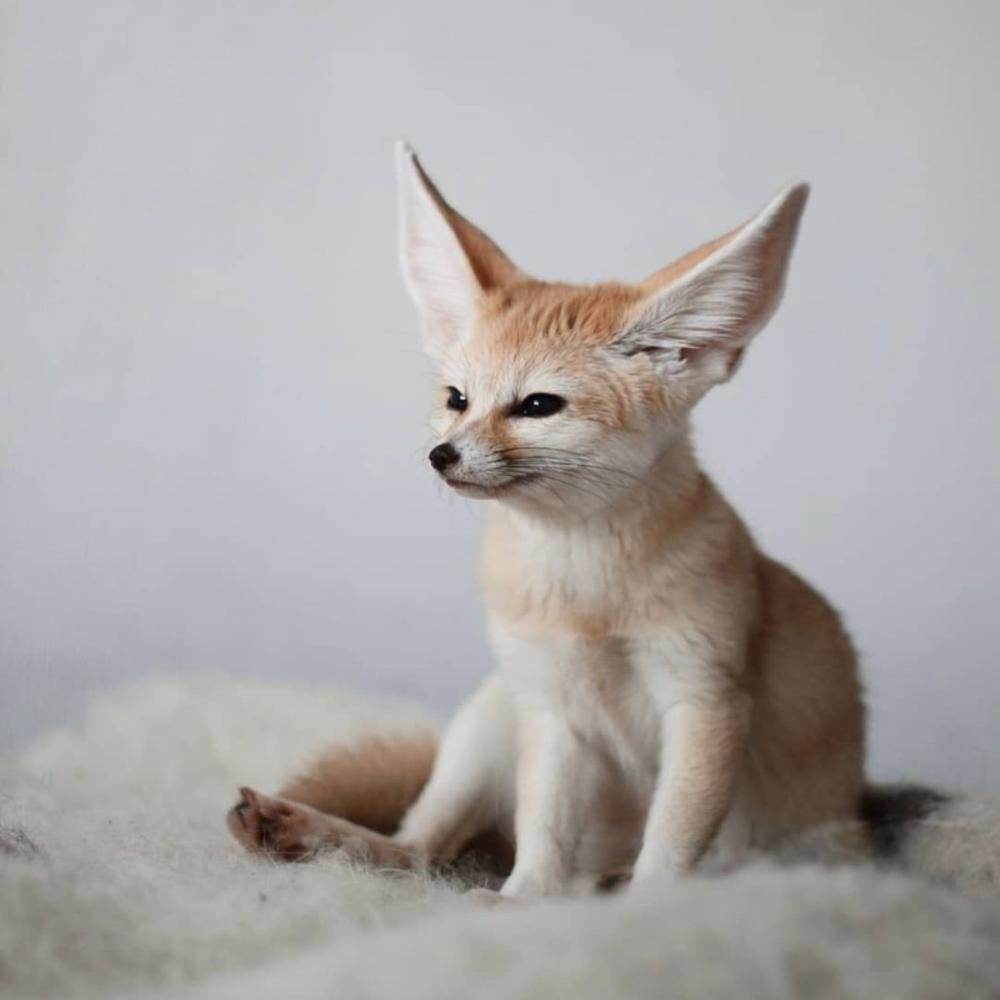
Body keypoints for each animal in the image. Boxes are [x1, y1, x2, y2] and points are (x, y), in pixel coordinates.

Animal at [227, 144, 995, 897]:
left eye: (538, 406)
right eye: (456, 398)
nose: (442, 455)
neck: (587, 592)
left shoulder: (705, 697)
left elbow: (674, 839)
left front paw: (645, 909)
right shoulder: (553, 711)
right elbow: (542, 835)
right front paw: (522, 903)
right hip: (492, 714)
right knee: (416, 853)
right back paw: (297, 829)